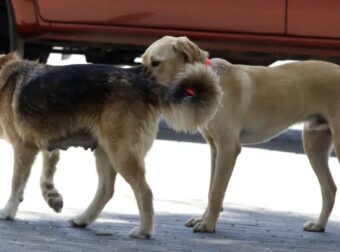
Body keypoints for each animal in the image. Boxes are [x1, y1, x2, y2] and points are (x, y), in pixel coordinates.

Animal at [0, 52, 220, 238]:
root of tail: (144, 83)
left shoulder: (24, 148)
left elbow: (16, 183)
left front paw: (8, 211)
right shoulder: (47, 145)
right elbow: (46, 173)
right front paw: (52, 196)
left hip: (120, 154)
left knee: (144, 191)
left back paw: (144, 231)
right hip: (105, 151)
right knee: (107, 189)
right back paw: (83, 219)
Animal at [142, 35, 340, 232]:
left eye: (156, 63)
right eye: (142, 62)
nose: (137, 85)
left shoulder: (228, 148)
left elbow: (216, 191)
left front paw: (208, 224)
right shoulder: (215, 148)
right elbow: (211, 187)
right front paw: (203, 219)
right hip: (314, 144)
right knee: (329, 188)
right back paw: (319, 224)